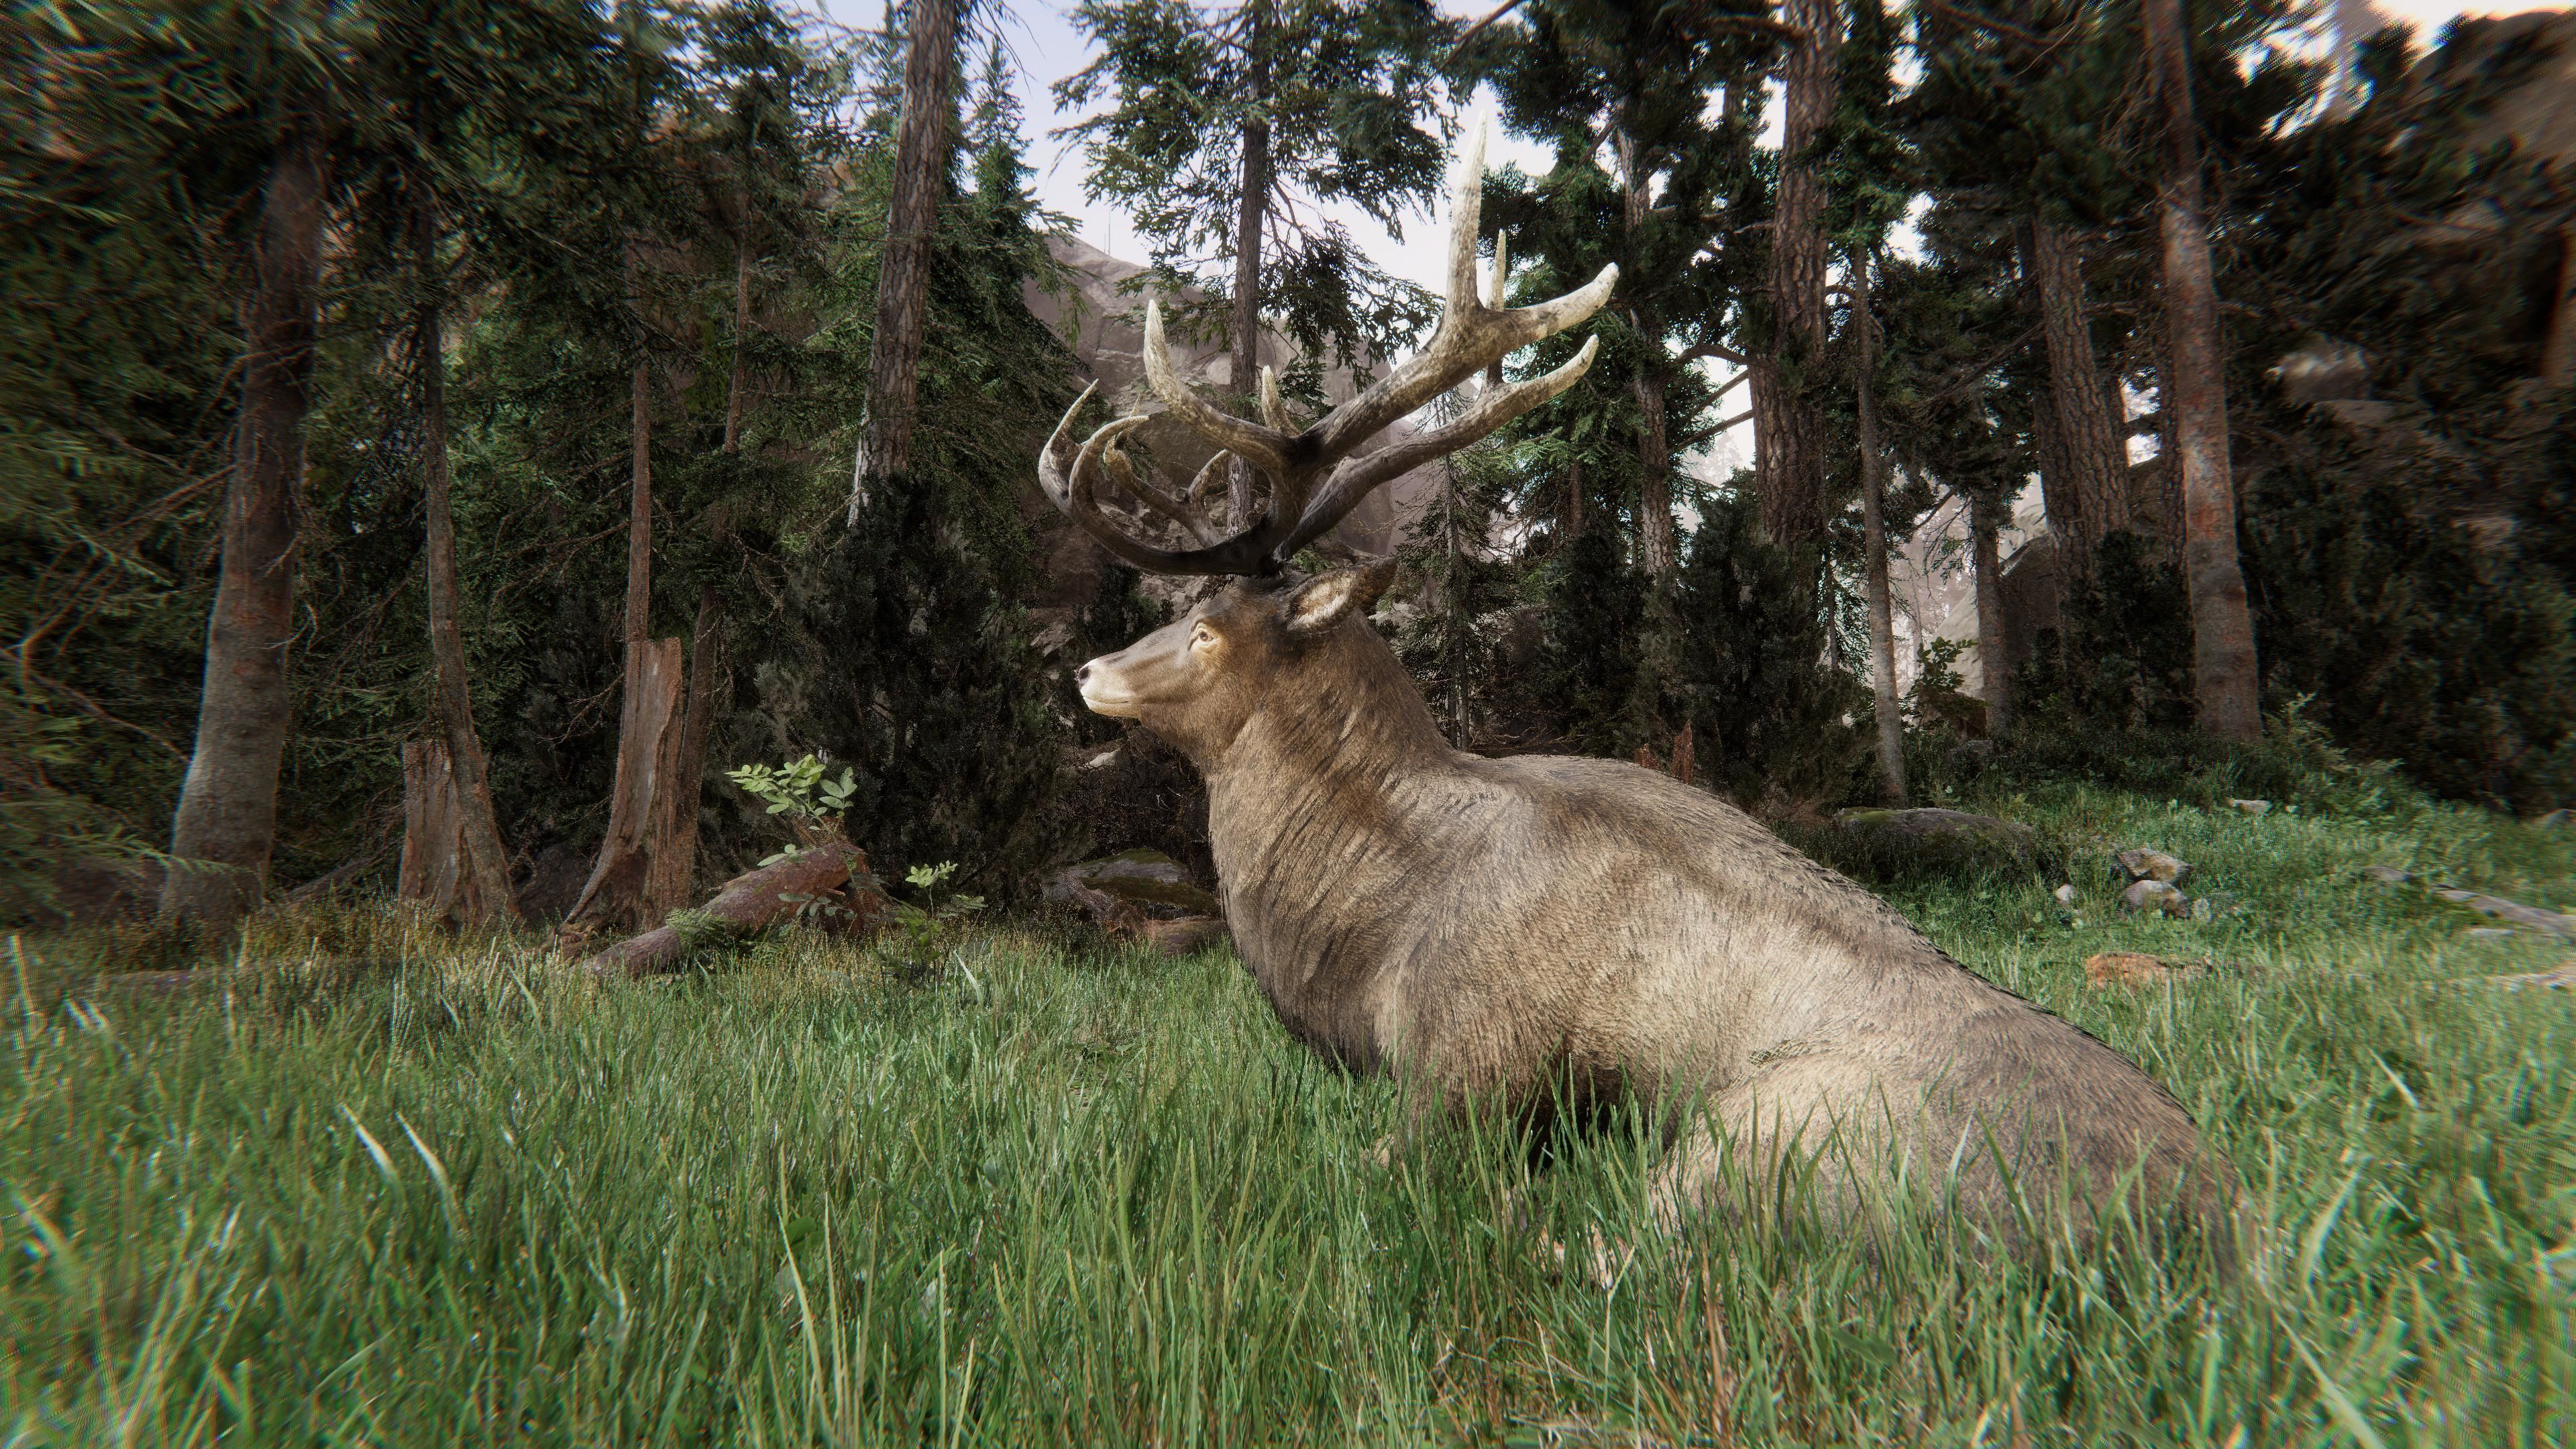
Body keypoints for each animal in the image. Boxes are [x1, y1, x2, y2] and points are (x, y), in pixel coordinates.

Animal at [1038, 133, 2233, 1255]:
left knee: (1605, 1258)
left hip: (1769, 1132)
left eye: (1207, 631)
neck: (1370, 932)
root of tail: (2208, 1242)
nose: (1088, 671)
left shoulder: (1465, 1066)